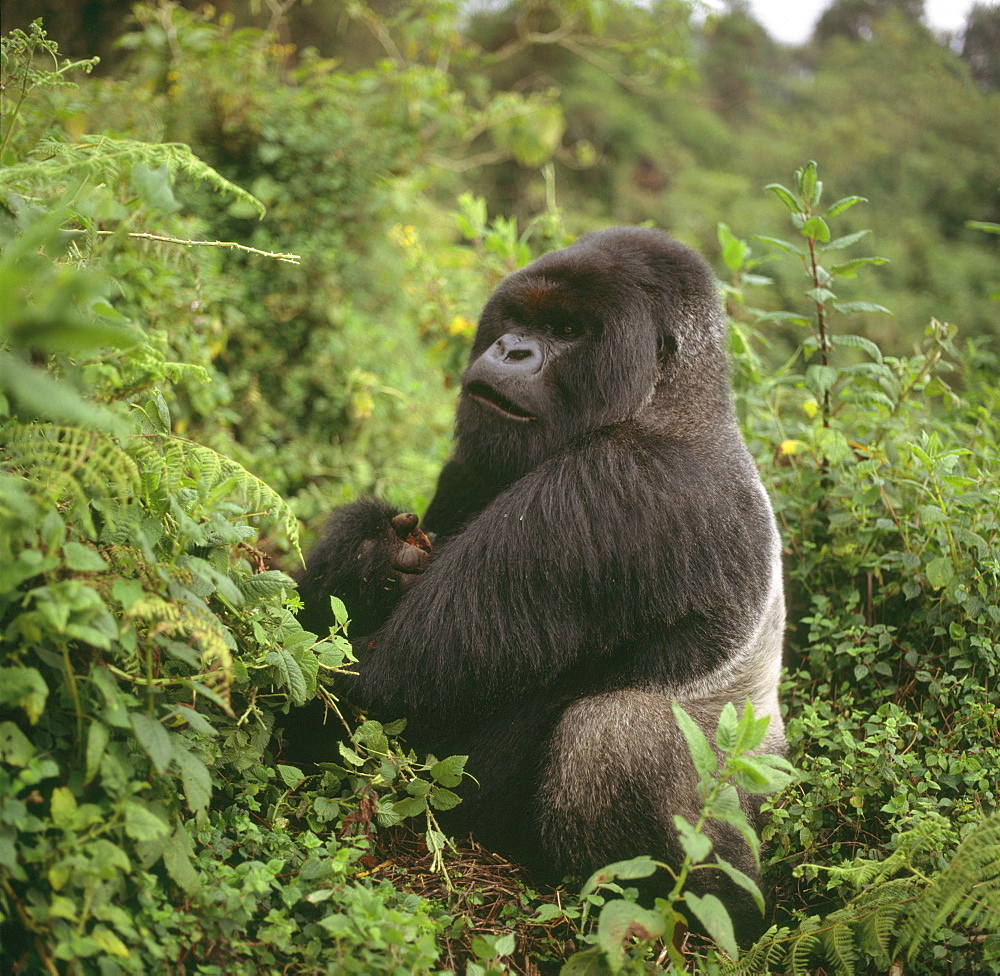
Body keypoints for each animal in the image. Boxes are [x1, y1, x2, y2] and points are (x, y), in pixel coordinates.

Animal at [292, 227, 784, 936]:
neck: (668, 402)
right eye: (520, 319)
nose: (511, 350)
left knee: (614, 734)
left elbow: (373, 683)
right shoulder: (477, 458)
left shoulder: (610, 489)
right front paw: (370, 553)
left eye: (567, 329)